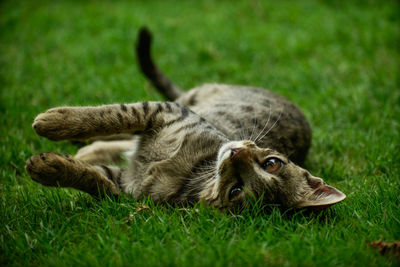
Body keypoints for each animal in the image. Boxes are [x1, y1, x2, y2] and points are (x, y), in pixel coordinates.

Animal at [25, 27, 346, 211]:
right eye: (272, 162)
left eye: (236, 190)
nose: (237, 153)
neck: (193, 170)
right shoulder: (162, 111)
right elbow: (111, 115)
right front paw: (54, 121)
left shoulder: (126, 186)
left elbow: (91, 178)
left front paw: (47, 167)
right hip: (191, 99)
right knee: (122, 135)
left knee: (120, 146)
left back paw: (87, 150)